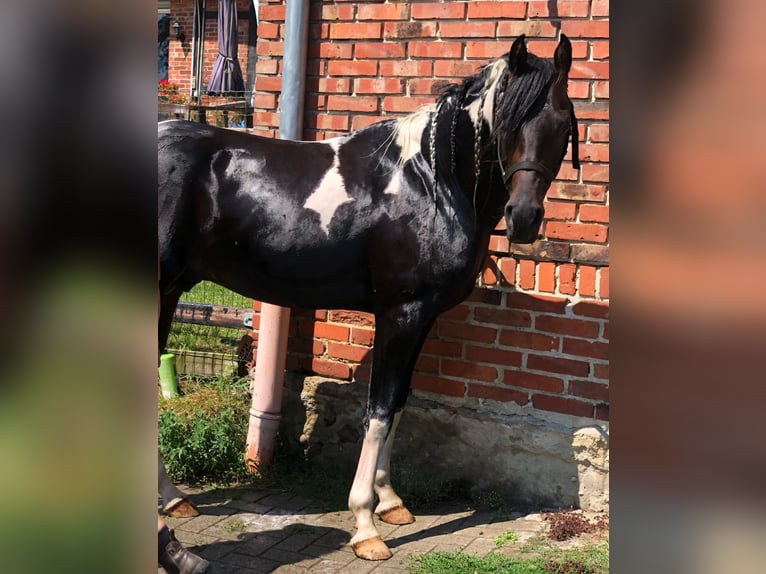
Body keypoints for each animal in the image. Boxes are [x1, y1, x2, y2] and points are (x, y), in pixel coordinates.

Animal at [158, 34, 580, 561]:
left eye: (562, 122)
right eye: (508, 120)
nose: (522, 218)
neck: (430, 183)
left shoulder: (421, 318)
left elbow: (398, 403)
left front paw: (391, 502)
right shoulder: (401, 313)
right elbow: (378, 412)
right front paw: (365, 525)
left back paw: (173, 500)